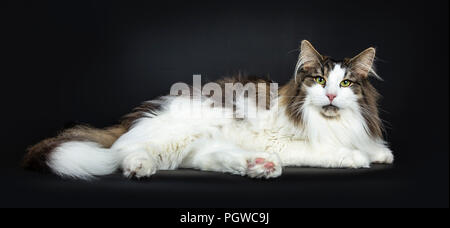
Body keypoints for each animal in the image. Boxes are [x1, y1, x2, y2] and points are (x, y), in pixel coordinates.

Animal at [22, 41, 394, 180]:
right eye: (318, 80)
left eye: (344, 83)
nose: (330, 95)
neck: (330, 122)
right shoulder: (286, 142)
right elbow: (327, 150)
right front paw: (356, 157)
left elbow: (369, 145)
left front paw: (379, 153)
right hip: (181, 132)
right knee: (124, 150)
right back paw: (139, 167)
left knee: (202, 159)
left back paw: (258, 166)